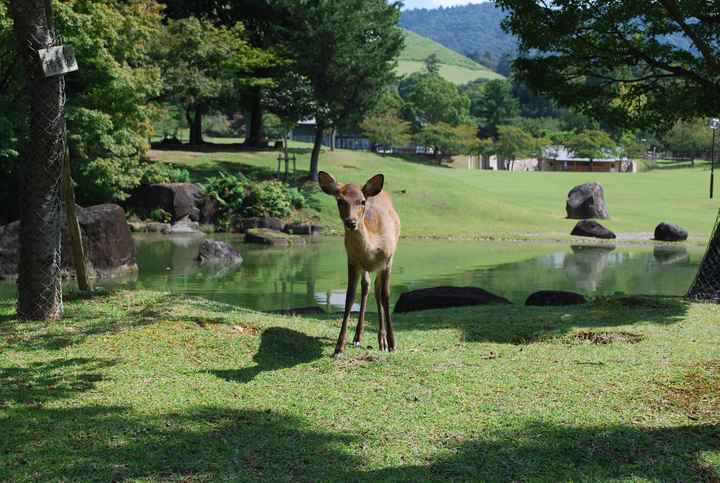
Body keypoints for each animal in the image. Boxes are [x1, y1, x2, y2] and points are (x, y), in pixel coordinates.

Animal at [320, 172, 402, 358]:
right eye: (340, 201)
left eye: (362, 201)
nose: (351, 222)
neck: (372, 248)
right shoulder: (352, 261)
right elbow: (349, 297)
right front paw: (339, 348)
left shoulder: (388, 260)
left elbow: (386, 297)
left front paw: (393, 344)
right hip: (364, 268)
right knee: (367, 287)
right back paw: (358, 337)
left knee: (378, 292)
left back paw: (382, 341)